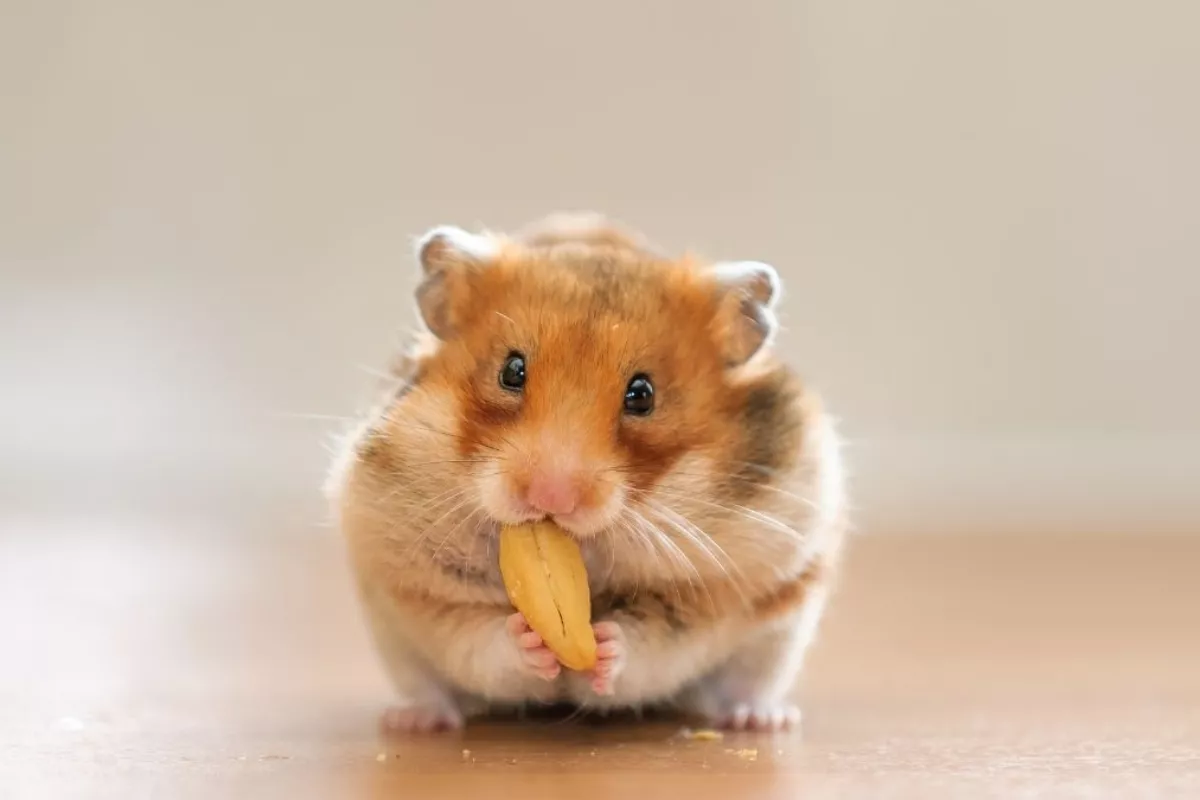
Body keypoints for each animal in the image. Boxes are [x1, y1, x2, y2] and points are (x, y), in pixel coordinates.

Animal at [326, 213, 848, 733]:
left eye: (643, 394)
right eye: (511, 371)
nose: (550, 499)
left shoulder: (717, 589)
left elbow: (654, 641)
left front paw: (606, 647)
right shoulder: (416, 583)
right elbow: (479, 636)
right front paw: (528, 639)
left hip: (778, 635)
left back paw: (762, 720)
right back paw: (414, 721)